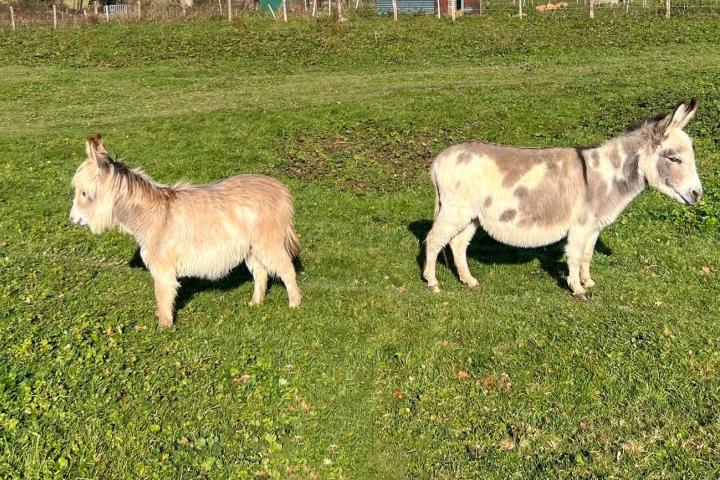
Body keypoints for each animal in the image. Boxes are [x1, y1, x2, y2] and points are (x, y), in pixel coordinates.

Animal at [70, 135, 300, 328]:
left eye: (85, 193)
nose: (72, 218)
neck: (150, 215)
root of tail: (281, 189)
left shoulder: (163, 268)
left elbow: (162, 294)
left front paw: (164, 326)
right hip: (251, 248)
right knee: (261, 273)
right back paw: (256, 303)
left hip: (268, 243)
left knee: (287, 269)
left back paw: (295, 304)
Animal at [424, 99, 700, 298]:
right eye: (674, 158)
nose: (698, 194)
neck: (605, 176)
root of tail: (438, 160)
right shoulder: (579, 226)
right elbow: (575, 257)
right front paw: (577, 289)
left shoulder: (593, 227)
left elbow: (587, 255)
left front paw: (588, 282)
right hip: (454, 210)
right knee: (434, 240)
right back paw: (432, 282)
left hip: (471, 216)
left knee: (458, 245)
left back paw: (469, 281)